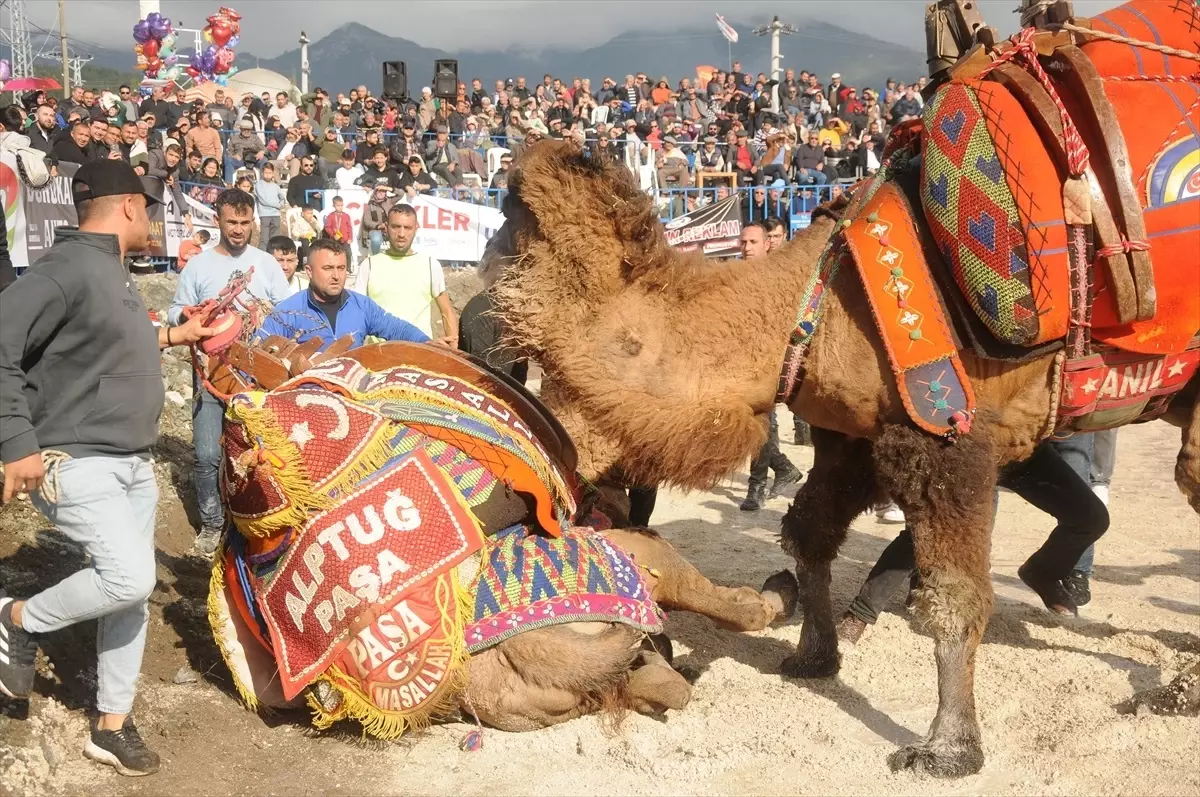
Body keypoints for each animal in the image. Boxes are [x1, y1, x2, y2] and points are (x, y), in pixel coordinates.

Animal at [480, 139, 1200, 772]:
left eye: (552, 371)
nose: (519, 463)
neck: (812, 304)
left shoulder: (947, 434)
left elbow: (951, 593)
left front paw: (948, 747)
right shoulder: (858, 438)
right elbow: (811, 530)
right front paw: (813, 657)